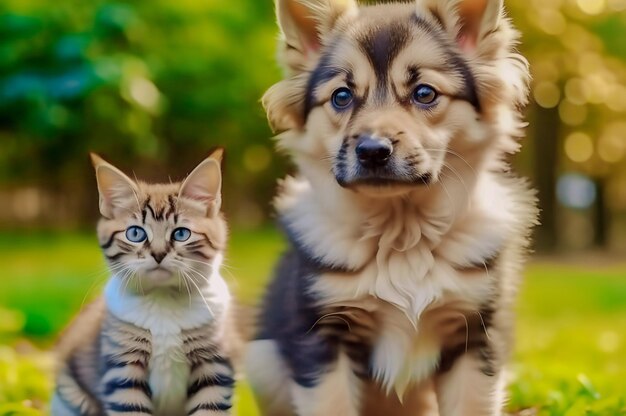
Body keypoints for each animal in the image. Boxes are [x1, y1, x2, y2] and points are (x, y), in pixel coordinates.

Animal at [51, 149, 235, 416]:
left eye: (181, 234)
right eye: (136, 233)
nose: (158, 254)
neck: (163, 302)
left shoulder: (214, 364)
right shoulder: (122, 367)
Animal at [246, 1, 532, 414]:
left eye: (424, 93)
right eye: (342, 97)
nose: (372, 151)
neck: (401, 233)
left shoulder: (475, 334)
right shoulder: (320, 336)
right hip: (263, 360)